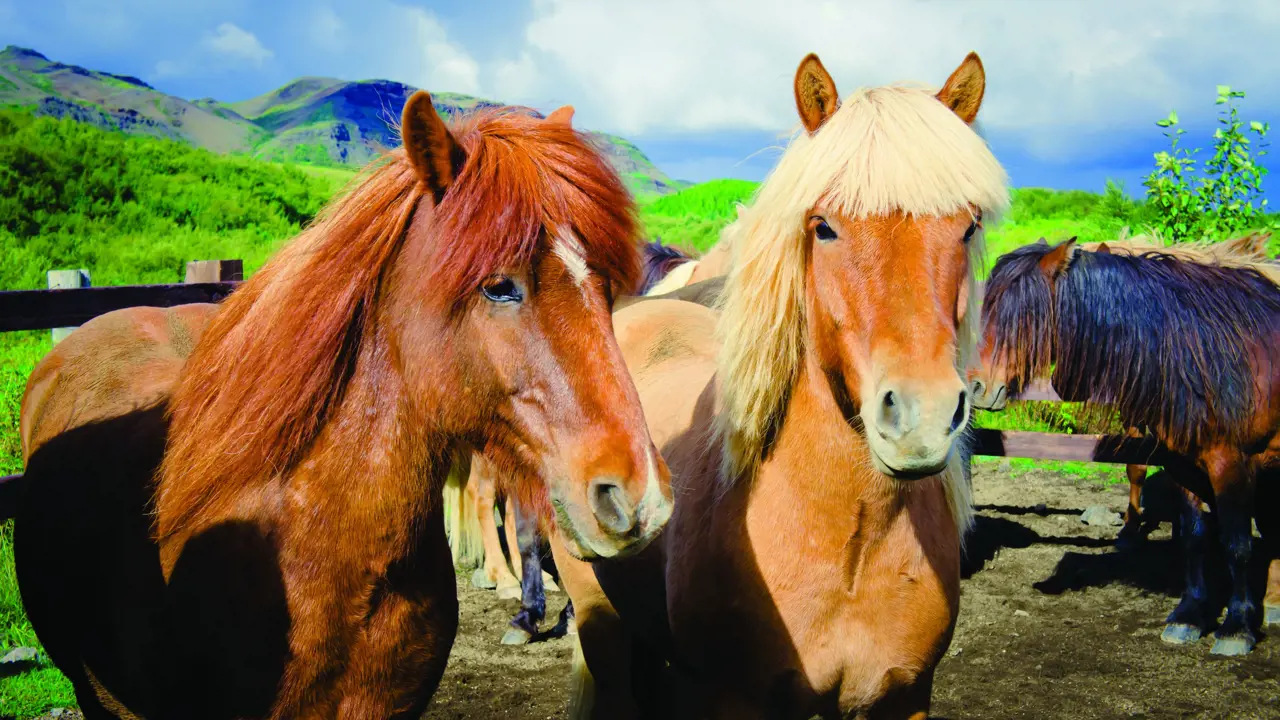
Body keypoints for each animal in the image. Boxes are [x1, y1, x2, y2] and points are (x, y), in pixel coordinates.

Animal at [550, 51, 1008, 717]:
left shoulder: (906, 696)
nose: (920, 418)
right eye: (824, 227)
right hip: (599, 619)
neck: (851, 548)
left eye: (968, 226)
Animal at [967, 237, 1280, 655]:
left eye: (1023, 316)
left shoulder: (1232, 462)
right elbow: (1196, 538)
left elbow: (1237, 544)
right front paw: (1189, 616)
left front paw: (1237, 627)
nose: (975, 388)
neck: (1202, 356)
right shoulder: (1183, 464)